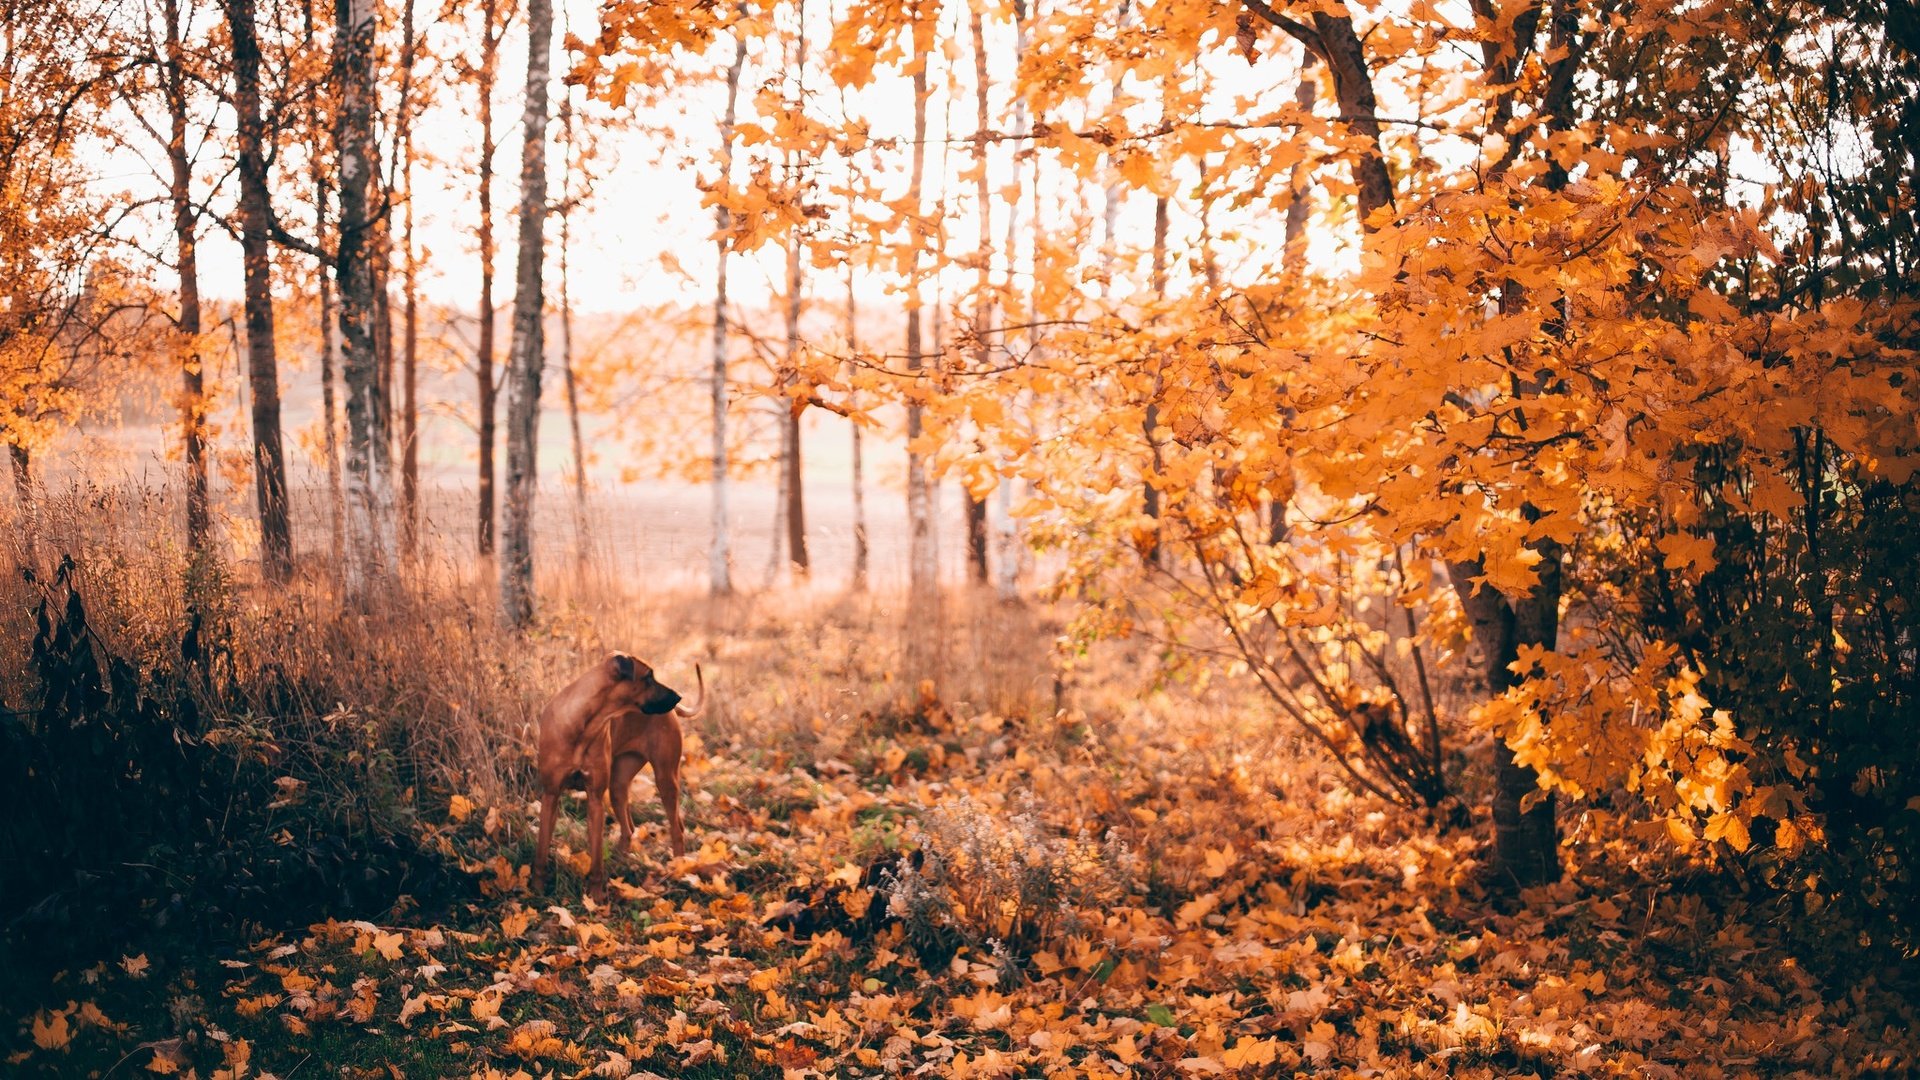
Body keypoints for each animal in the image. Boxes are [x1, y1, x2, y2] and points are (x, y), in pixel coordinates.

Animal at [533, 653, 706, 895]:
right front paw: (537, 890)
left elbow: (596, 859)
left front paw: (596, 897)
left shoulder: (595, 799)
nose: (678, 696)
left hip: (665, 779)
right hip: (618, 785)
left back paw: (678, 870)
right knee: (629, 828)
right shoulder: (550, 795)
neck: (583, 725)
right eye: (648, 676)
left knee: (677, 829)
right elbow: (541, 851)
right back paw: (620, 859)